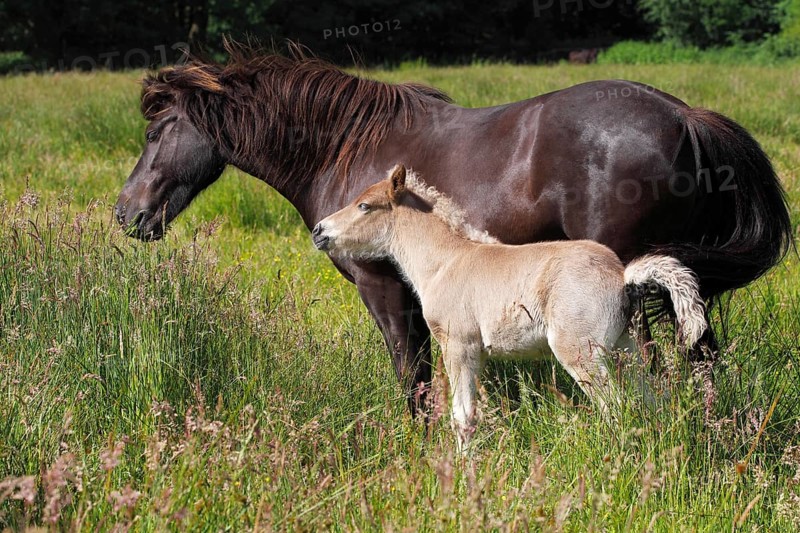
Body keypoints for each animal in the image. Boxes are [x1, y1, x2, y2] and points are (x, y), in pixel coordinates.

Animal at [114, 41, 791, 416]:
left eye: (155, 132)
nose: (126, 215)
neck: (342, 147)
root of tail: (683, 115)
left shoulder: (384, 290)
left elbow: (412, 376)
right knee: (701, 356)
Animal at [312, 164, 708, 451]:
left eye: (364, 205)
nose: (319, 231)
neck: (444, 262)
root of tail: (621, 275)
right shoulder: (478, 354)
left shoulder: (457, 346)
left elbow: (462, 417)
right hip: (626, 347)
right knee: (654, 397)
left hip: (581, 352)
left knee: (617, 407)